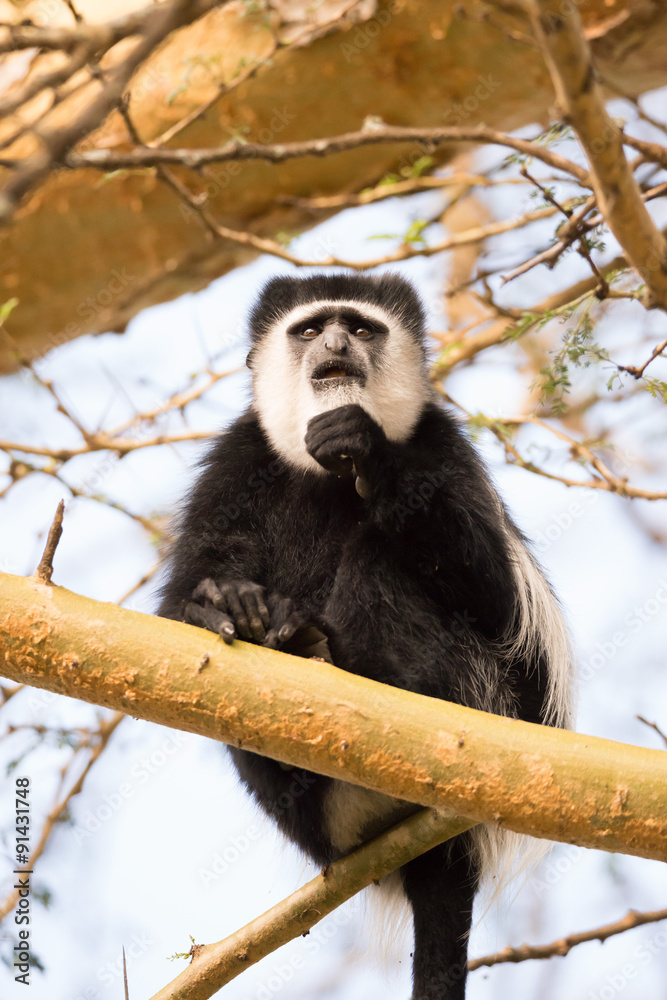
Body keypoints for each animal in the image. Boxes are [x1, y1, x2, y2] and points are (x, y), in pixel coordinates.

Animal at [157, 272, 573, 1000]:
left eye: (359, 327)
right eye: (309, 329)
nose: (333, 346)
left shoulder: (440, 446)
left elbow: (496, 600)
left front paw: (367, 447)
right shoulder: (237, 458)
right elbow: (180, 599)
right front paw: (222, 603)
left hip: (484, 698)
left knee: (382, 554)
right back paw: (296, 647)